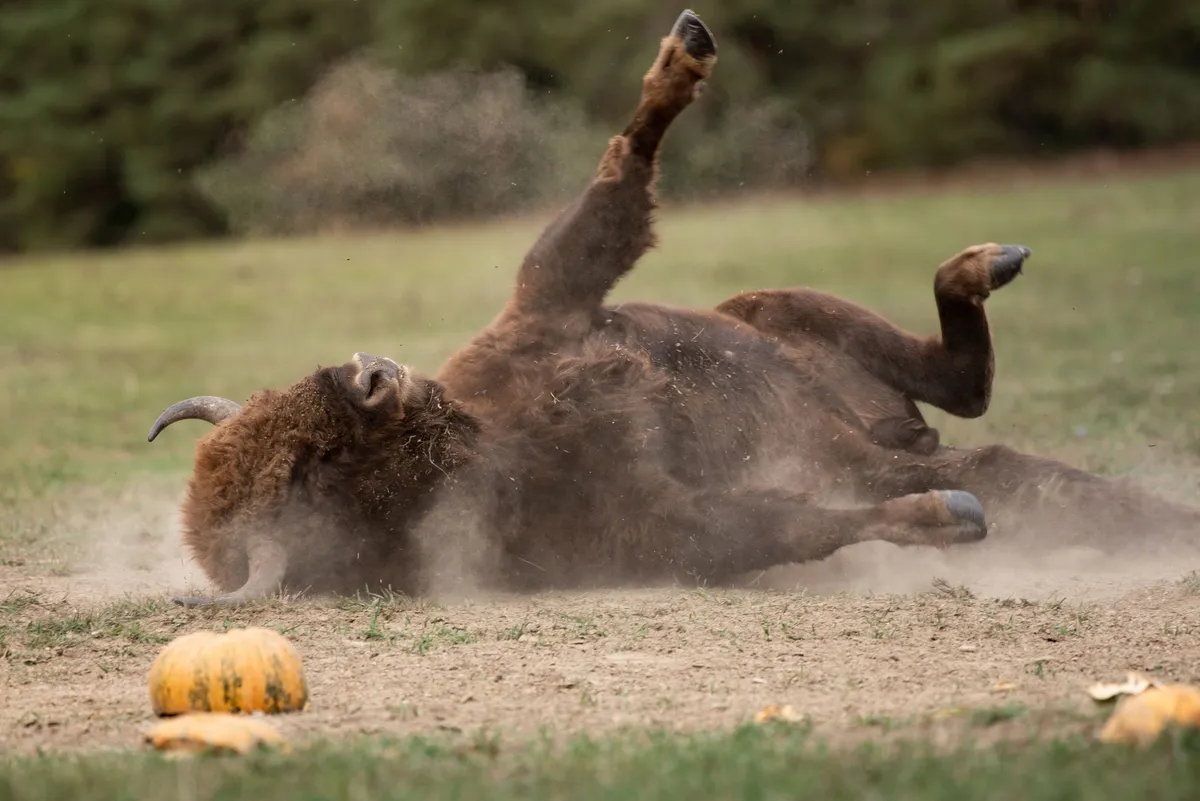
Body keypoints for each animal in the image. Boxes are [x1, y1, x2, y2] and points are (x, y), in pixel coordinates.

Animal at [148, 10, 1199, 606]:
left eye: (297, 422)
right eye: (308, 473)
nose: (366, 373)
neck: (490, 438)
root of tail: (896, 434)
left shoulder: (548, 305)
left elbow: (608, 198)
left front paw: (682, 55)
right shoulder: (662, 524)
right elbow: (788, 524)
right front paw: (942, 520)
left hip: (781, 309)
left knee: (956, 376)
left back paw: (986, 264)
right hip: (924, 443)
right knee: (1004, 451)